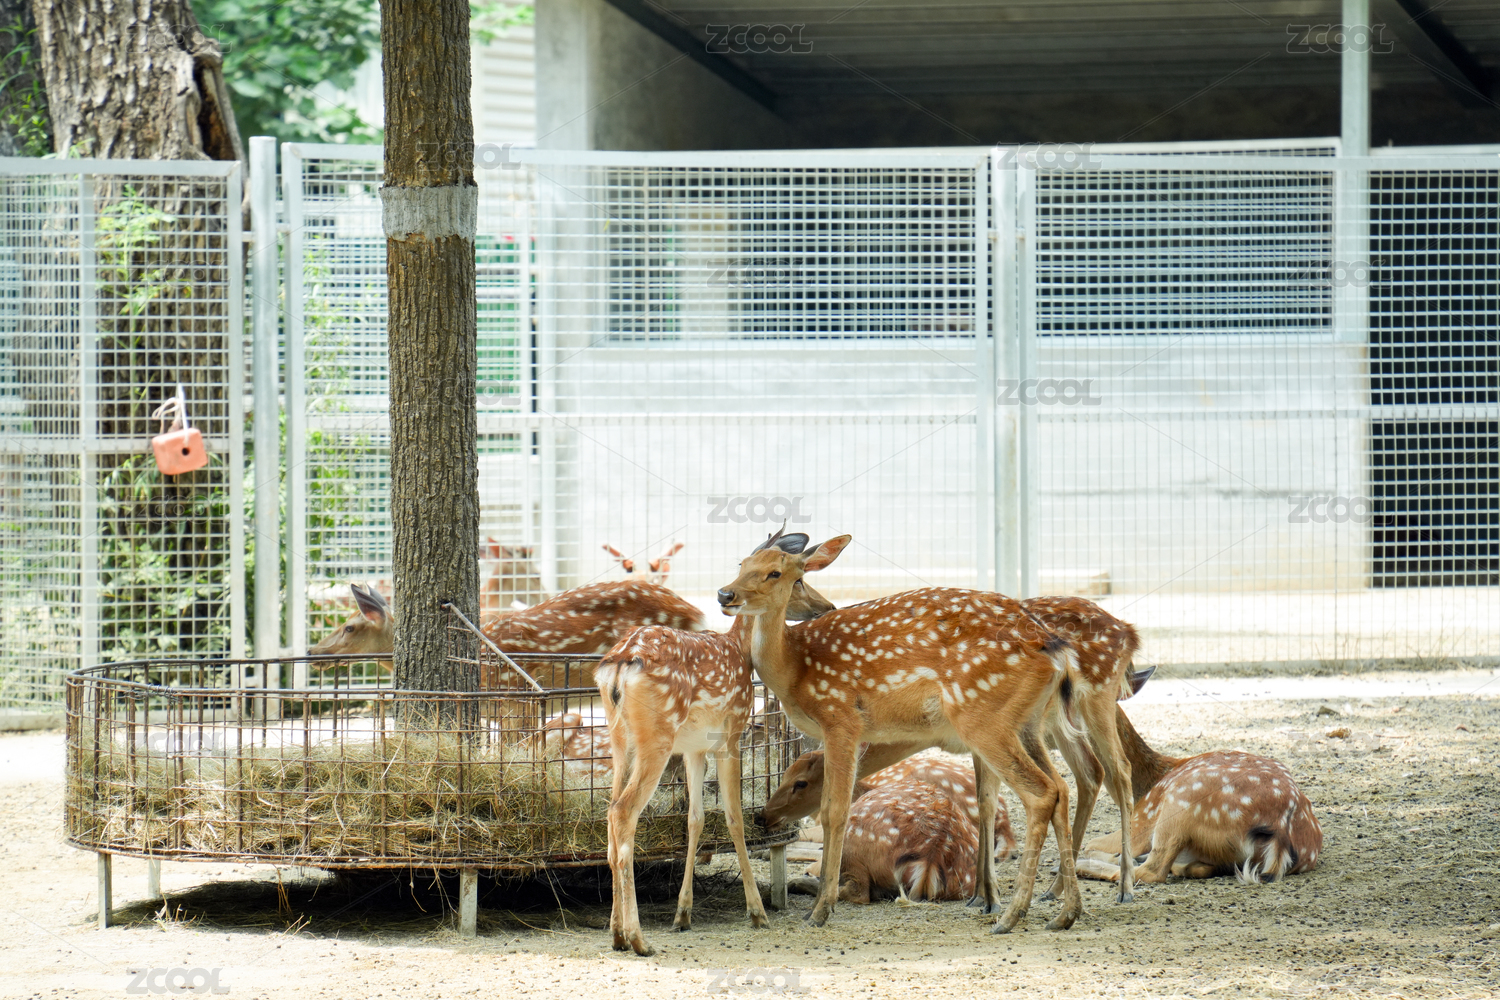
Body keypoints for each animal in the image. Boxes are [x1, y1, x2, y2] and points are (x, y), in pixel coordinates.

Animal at [600, 531, 838, 957]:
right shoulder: (730, 735)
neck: (741, 650)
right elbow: (734, 817)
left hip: (620, 739)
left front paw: (683, 915)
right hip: (656, 738)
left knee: (610, 812)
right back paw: (639, 939)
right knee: (624, 812)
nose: (826, 606)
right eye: (797, 580)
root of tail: (621, 663)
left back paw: (616, 935)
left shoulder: (694, 748)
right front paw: (757, 912)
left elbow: (694, 819)